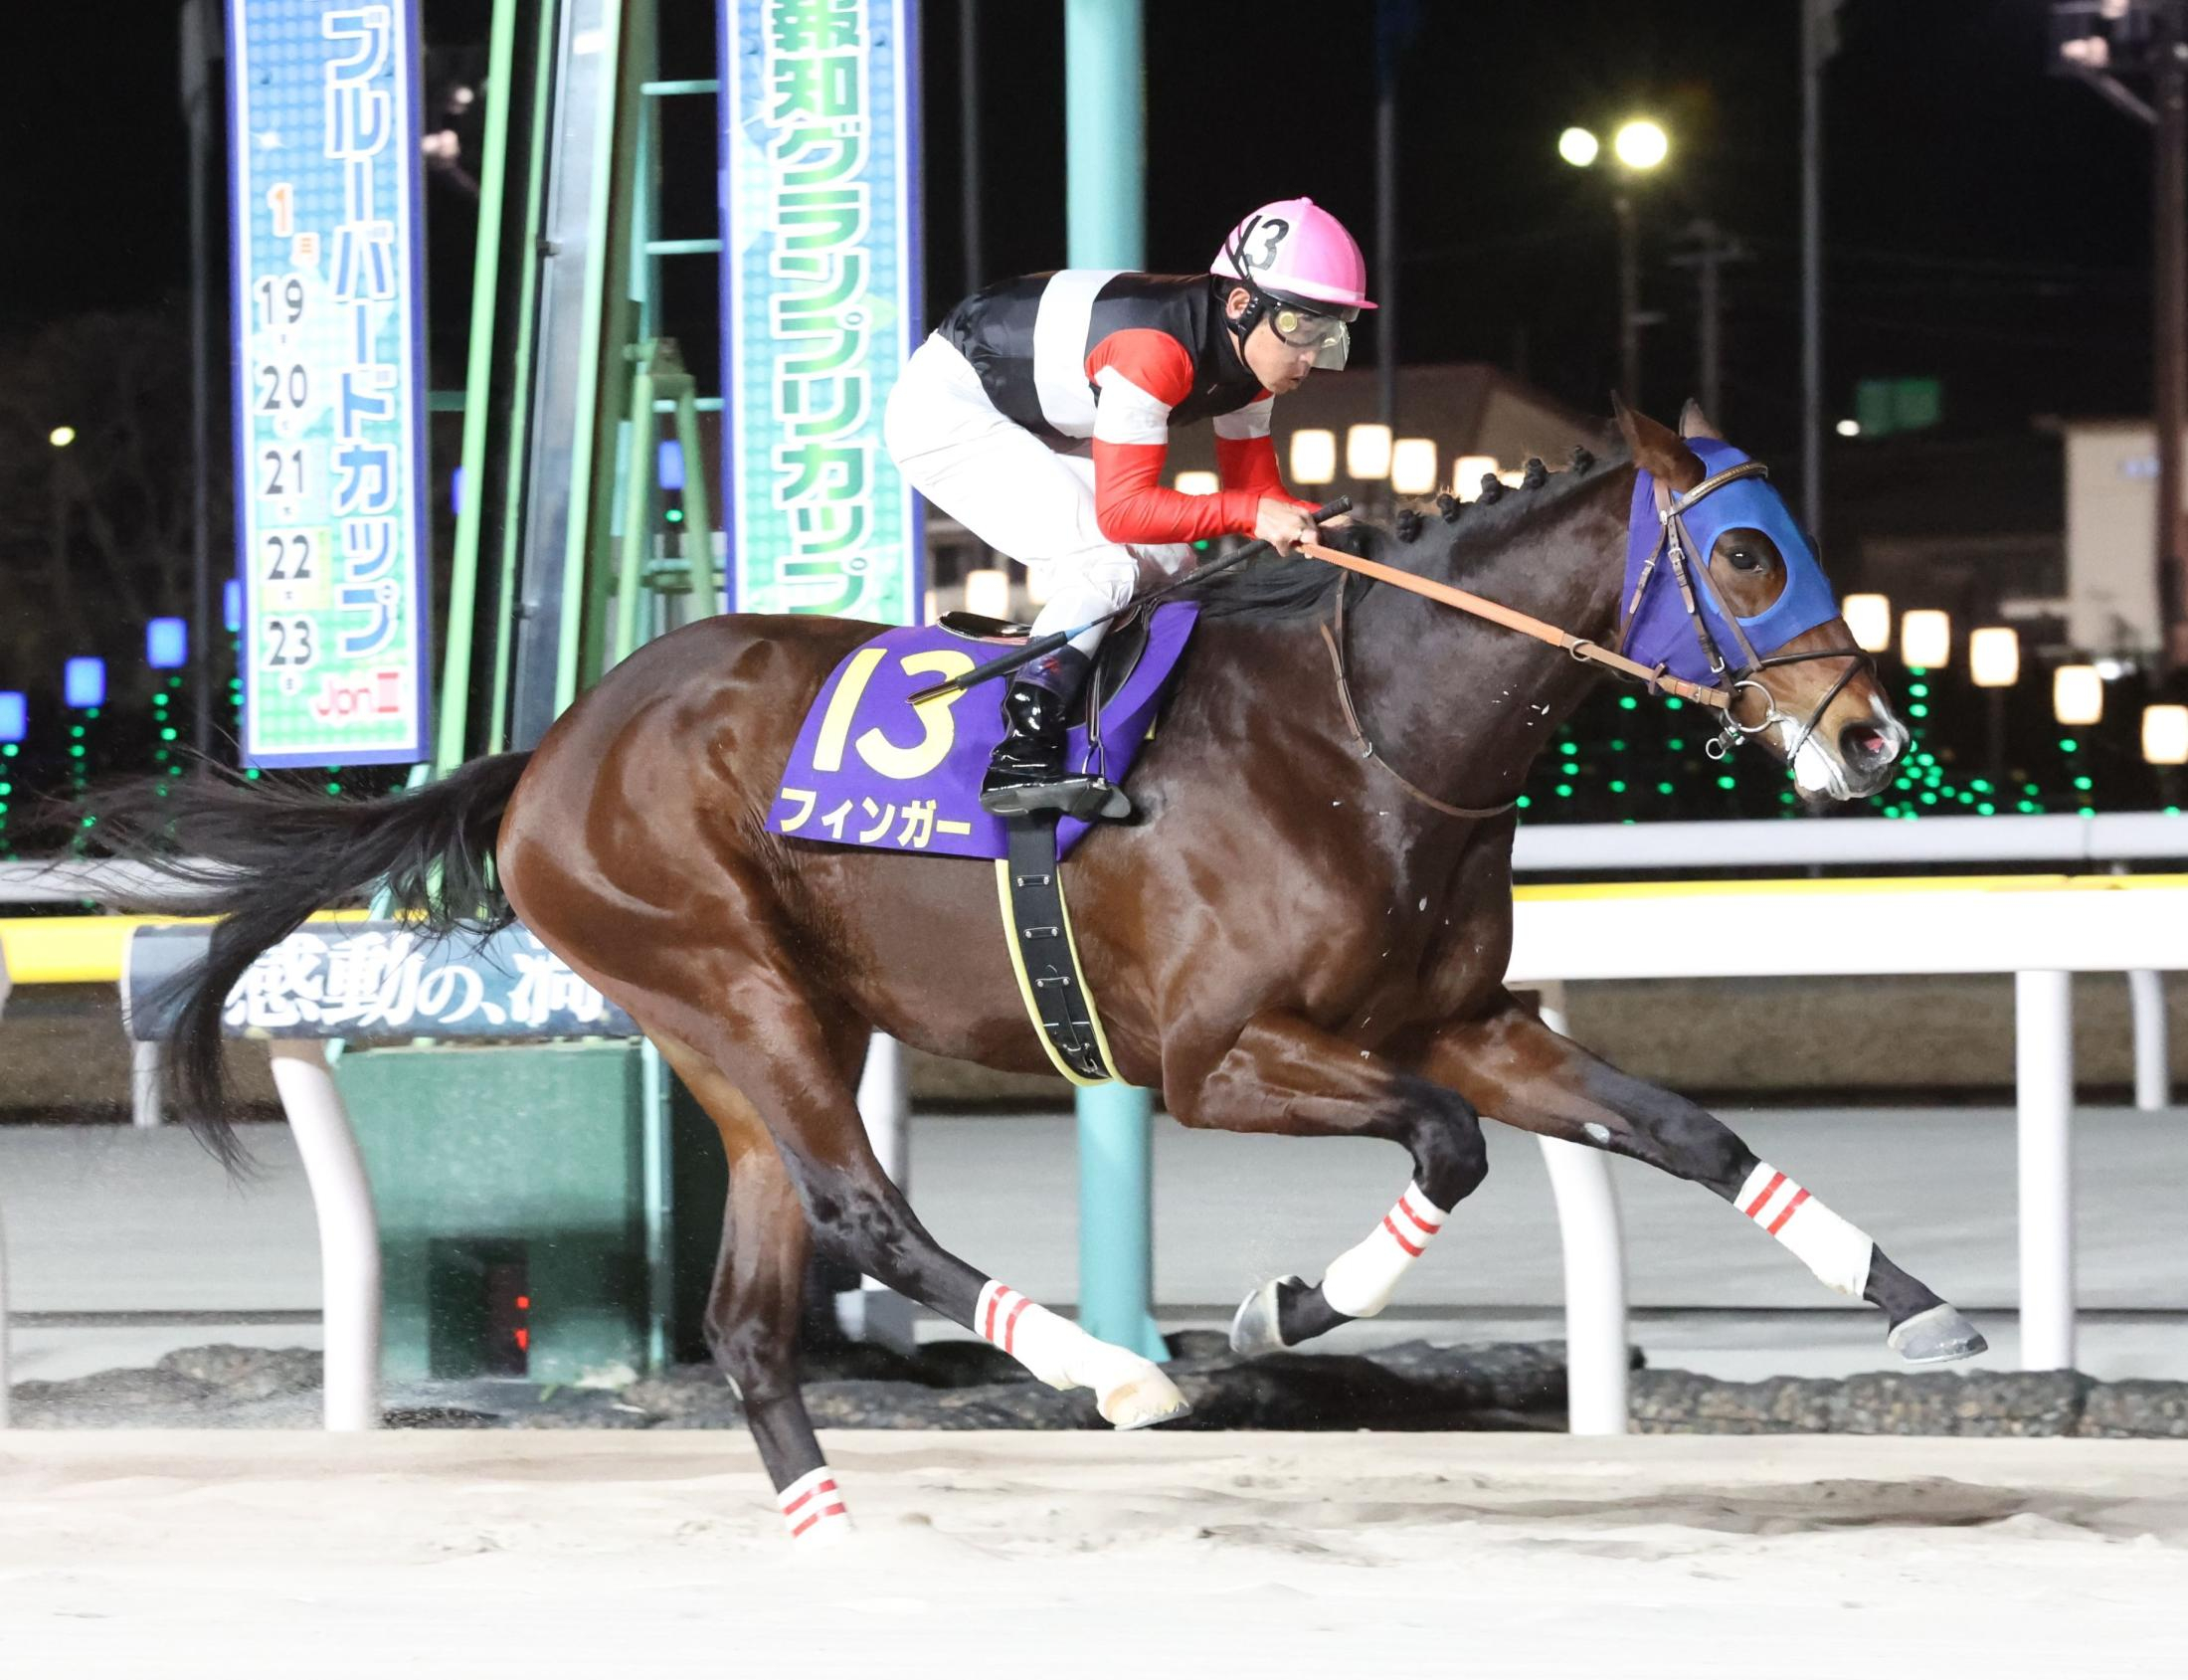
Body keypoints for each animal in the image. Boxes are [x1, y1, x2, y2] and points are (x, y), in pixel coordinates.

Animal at [92, 401, 1982, 1546]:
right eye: (1745, 554)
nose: (1870, 736)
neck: (1371, 736)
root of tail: (553, 743)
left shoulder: (1454, 1017)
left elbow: (1682, 1129)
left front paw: (1920, 1299)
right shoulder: (1221, 1058)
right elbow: (1447, 1151)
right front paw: (1273, 1312)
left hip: (736, 1020)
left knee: (754, 1306)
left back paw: (836, 1541)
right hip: (727, 974)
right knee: (867, 1214)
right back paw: (1116, 1373)